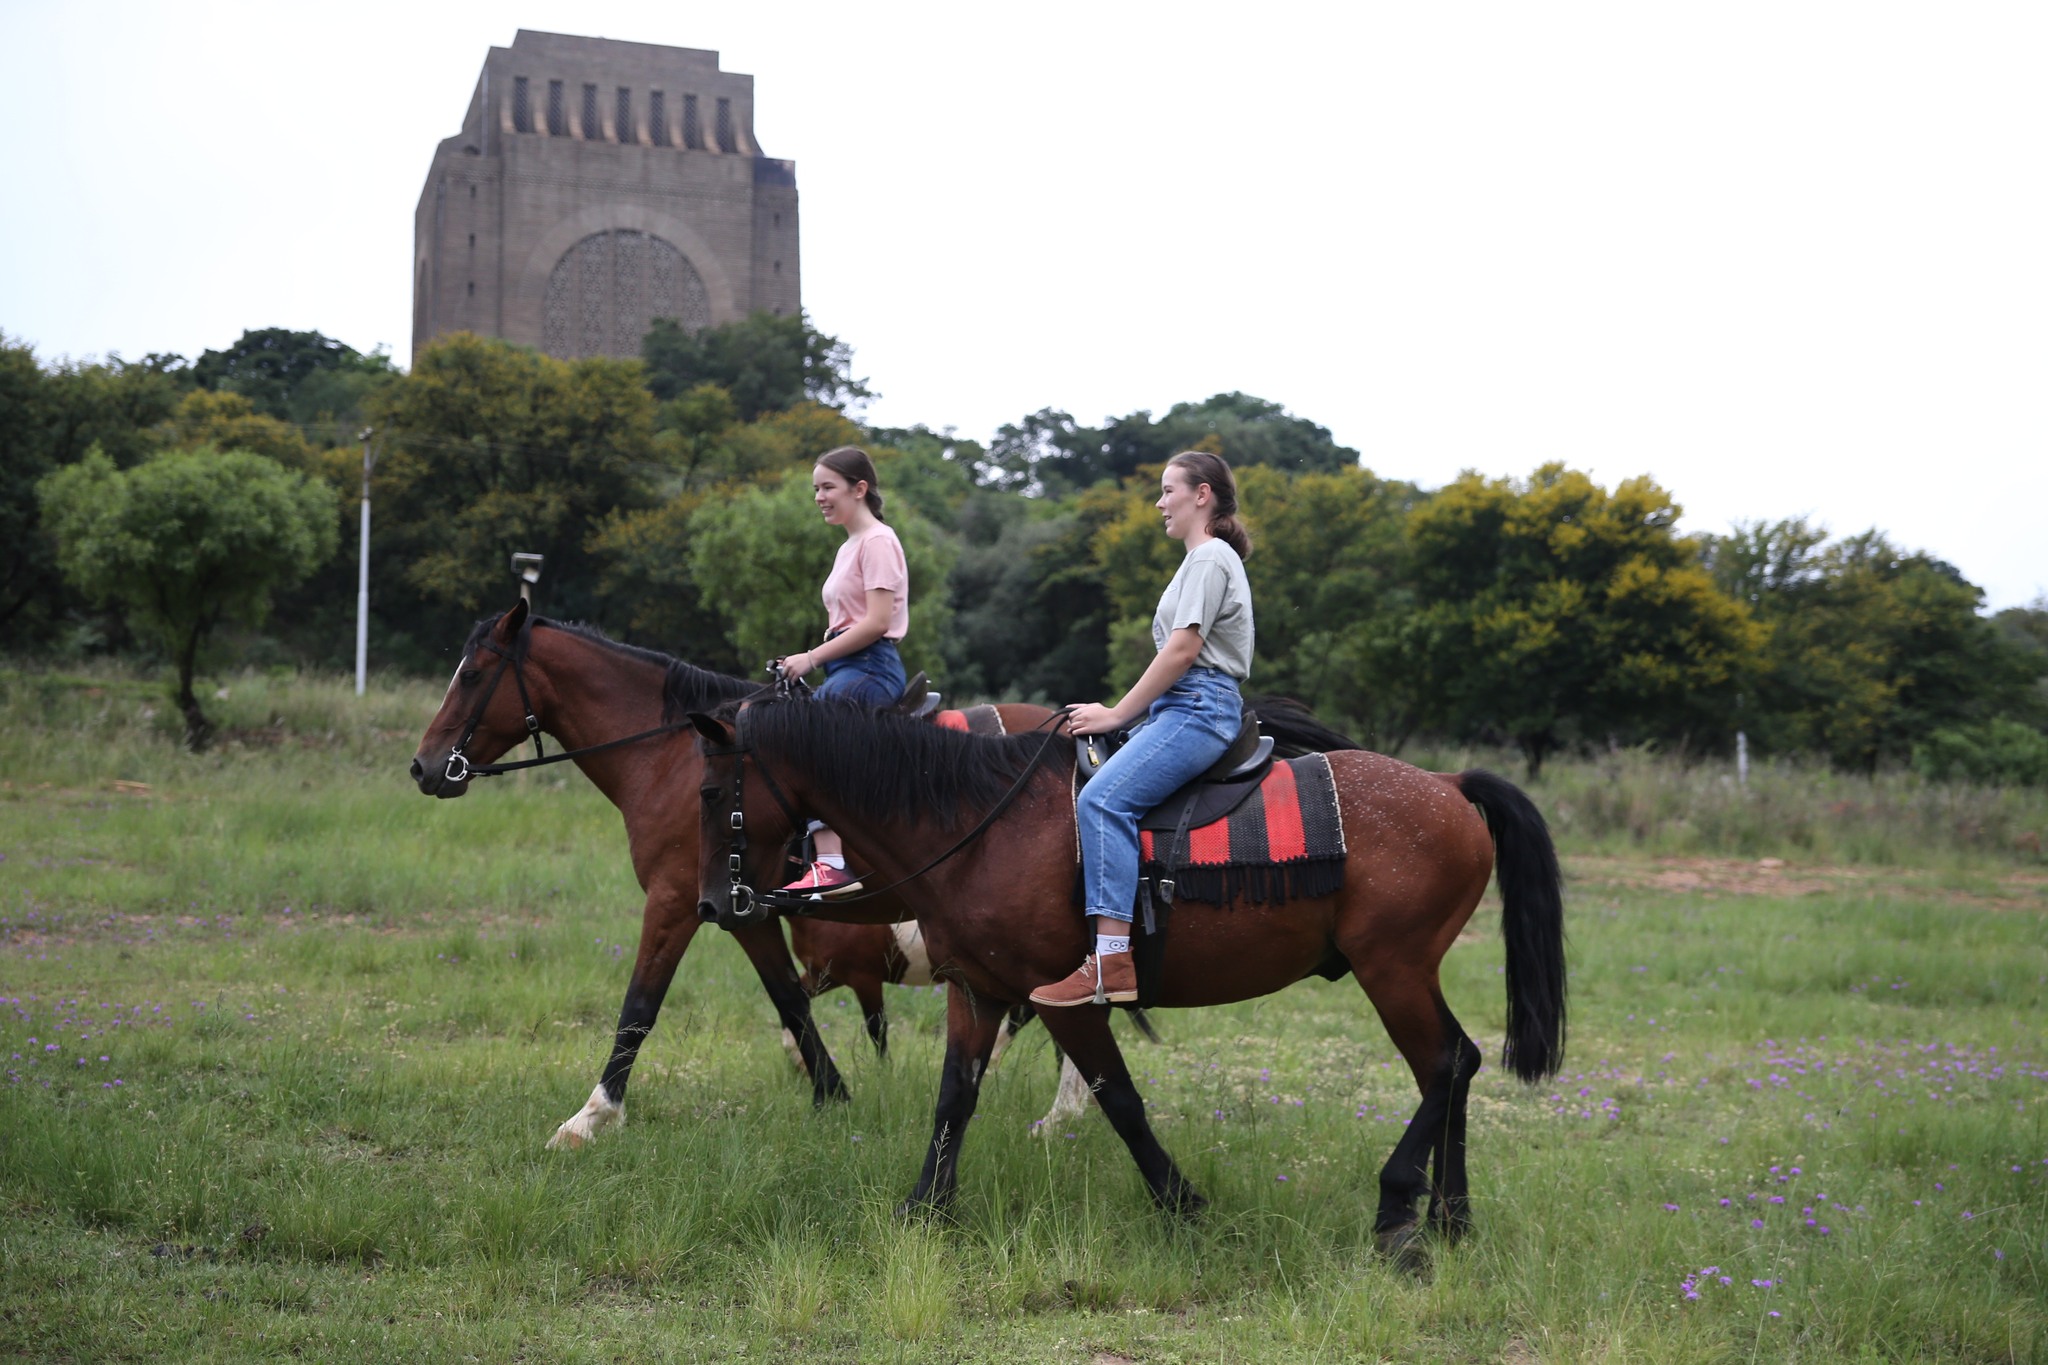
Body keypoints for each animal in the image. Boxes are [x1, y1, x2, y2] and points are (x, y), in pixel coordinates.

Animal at [688, 699, 1564, 1252]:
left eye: (709, 791)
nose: (713, 904)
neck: (981, 824)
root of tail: (1448, 786)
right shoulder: (977, 990)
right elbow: (954, 1098)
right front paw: (925, 1206)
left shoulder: (1065, 1000)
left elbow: (1120, 1101)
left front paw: (1184, 1204)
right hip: (1402, 973)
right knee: (1450, 1067)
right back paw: (1450, 1217)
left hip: (1394, 969)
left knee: (1447, 1063)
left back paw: (1397, 1205)